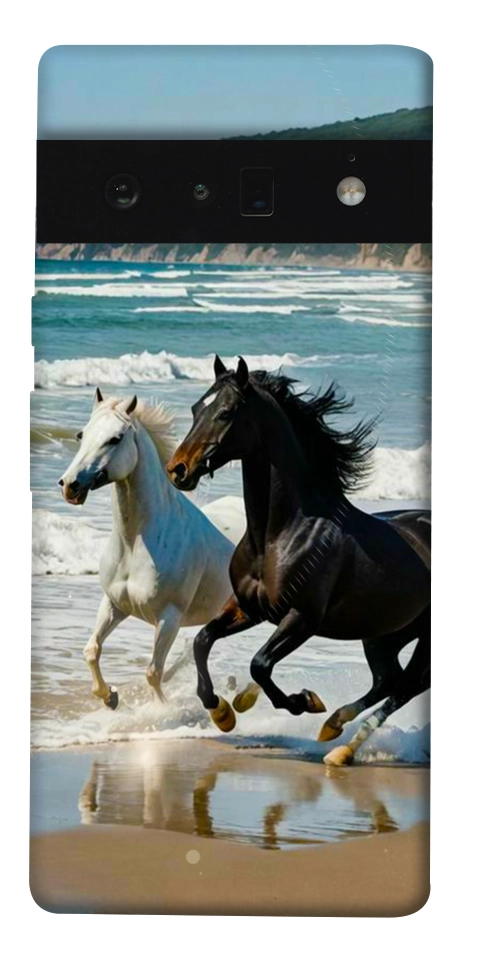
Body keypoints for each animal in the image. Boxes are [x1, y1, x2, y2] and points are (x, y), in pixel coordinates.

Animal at [59, 387, 234, 709]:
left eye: (115, 438)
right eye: (81, 434)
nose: (69, 485)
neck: (135, 544)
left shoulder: (169, 618)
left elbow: (153, 672)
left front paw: (161, 711)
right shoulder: (114, 604)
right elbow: (91, 650)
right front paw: (110, 697)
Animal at [166, 356, 430, 765]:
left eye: (226, 413)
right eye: (197, 408)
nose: (178, 469)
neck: (279, 535)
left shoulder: (302, 618)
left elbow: (260, 664)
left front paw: (303, 701)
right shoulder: (249, 608)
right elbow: (202, 640)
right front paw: (222, 711)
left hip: (420, 639)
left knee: (407, 686)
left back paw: (340, 746)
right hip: (384, 634)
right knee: (389, 680)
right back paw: (334, 729)